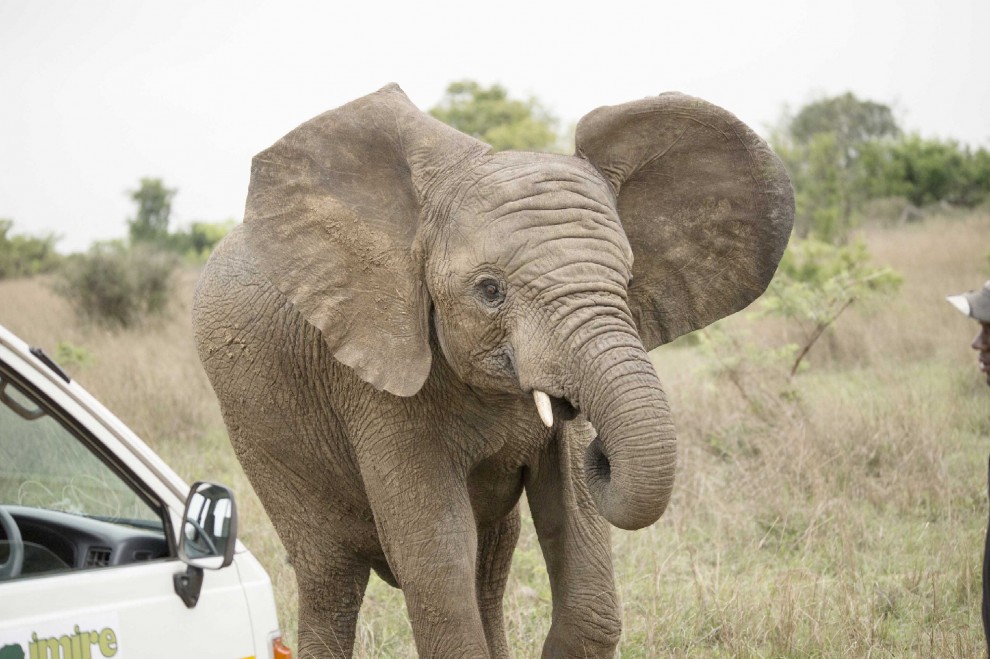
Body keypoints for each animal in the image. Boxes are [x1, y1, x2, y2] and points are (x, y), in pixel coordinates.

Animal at [192, 83, 793, 658]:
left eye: (625, 280)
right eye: (489, 290)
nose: (603, 452)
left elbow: (574, 526)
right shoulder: (371, 373)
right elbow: (435, 550)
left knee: (490, 563)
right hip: (262, 439)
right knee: (331, 576)